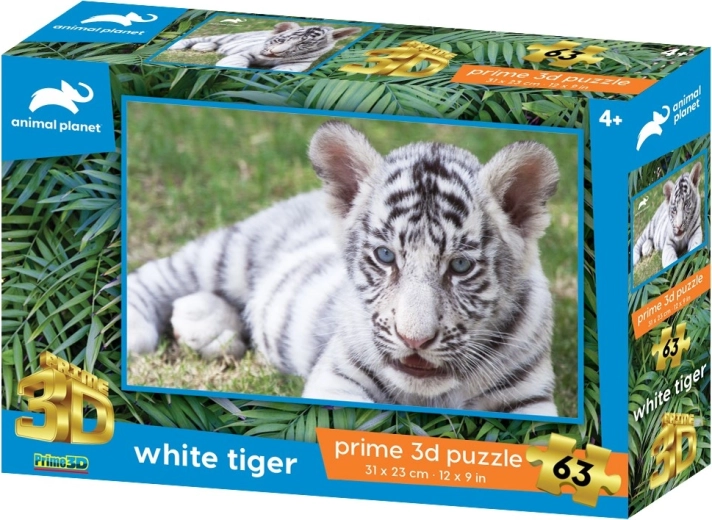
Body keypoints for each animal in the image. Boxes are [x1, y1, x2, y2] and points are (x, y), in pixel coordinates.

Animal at [127, 121, 561, 416]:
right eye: (385, 256)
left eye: (460, 265)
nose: (414, 340)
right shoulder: (339, 377)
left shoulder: (530, 399)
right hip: (234, 251)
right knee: (159, 274)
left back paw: (206, 325)